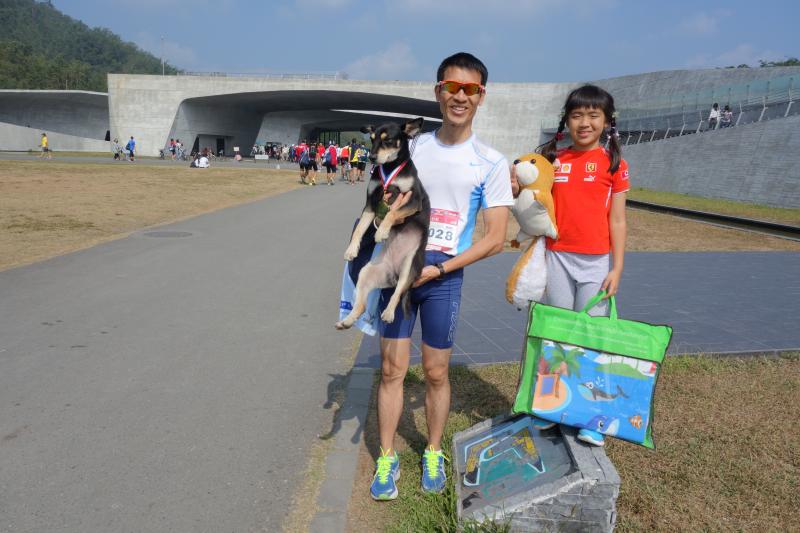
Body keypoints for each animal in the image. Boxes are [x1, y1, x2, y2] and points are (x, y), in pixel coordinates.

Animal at [335, 117, 430, 330]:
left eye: (388, 140)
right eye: (372, 139)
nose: (370, 157)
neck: (390, 168)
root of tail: (393, 275)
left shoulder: (413, 200)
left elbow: (392, 213)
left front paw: (381, 233)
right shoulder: (371, 204)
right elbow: (359, 230)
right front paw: (351, 250)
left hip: (409, 269)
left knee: (398, 294)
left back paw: (388, 313)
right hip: (366, 273)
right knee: (361, 305)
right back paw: (347, 321)